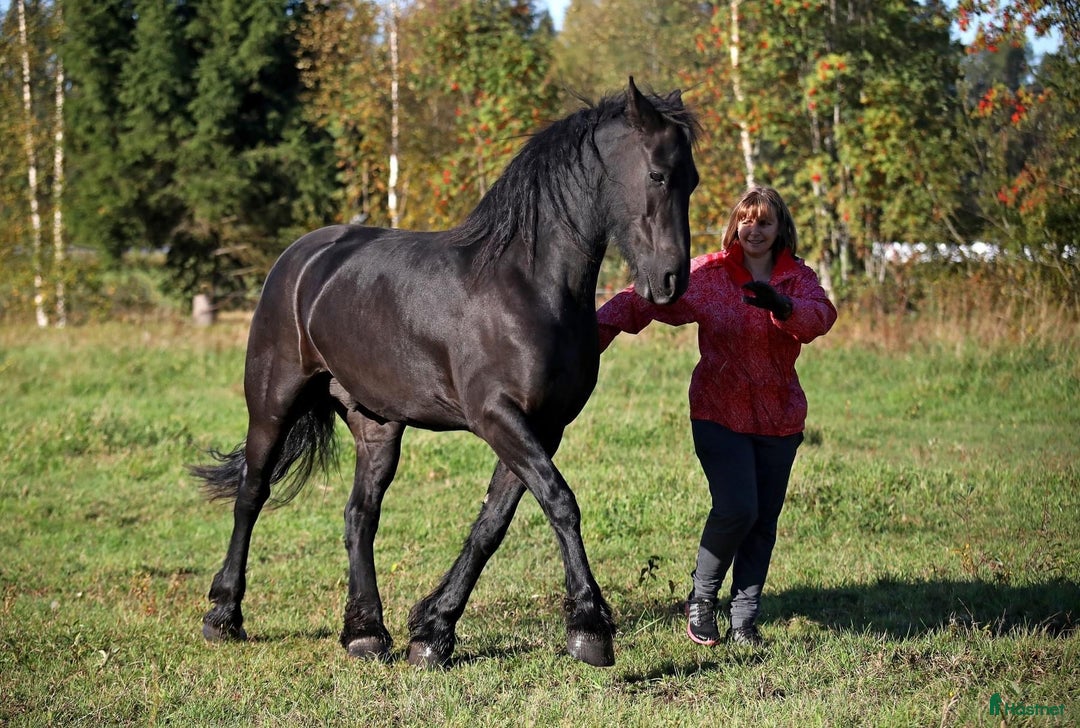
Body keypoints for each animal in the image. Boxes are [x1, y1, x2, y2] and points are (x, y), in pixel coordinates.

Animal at [192, 77, 700, 668]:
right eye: (657, 174)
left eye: (692, 180)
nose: (671, 281)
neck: (527, 286)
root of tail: (300, 258)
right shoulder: (497, 416)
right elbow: (560, 502)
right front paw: (590, 629)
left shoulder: (543, 426)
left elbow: (491, 525)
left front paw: (432, 632)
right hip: (273, 402)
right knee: (251, 494)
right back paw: (224, 616)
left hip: (376, 424)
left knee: (359, 515)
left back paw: (365, 633)